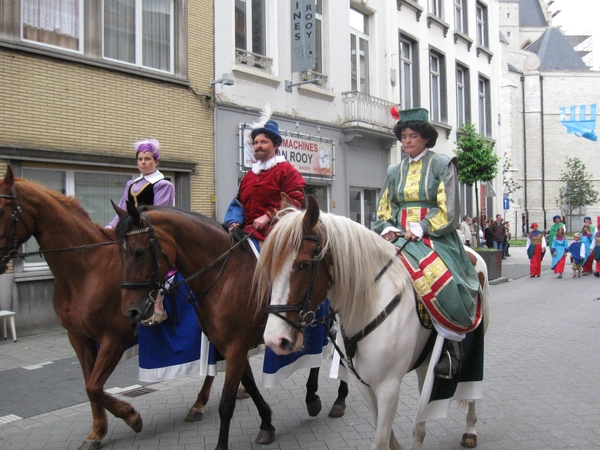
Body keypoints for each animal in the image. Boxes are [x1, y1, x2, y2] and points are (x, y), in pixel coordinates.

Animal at [0, 167, 219, 450]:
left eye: (1, 210)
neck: (86, 272)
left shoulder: (114, 338)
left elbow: (94, 387)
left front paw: (132, 416)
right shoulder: (79, 338)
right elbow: (90, 385)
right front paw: (96, 432)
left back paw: (204, 403)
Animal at [255, 197, 490, 450]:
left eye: (304, 265)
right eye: (270, 267)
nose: (274, 340)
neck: (371, 303)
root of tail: (470, 250)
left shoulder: (388, 387)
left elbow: (380, 440)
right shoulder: (366, 384)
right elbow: (384, 432)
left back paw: (470, 429)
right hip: (426, 360)